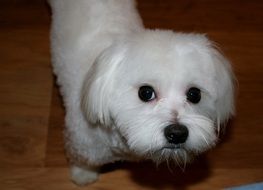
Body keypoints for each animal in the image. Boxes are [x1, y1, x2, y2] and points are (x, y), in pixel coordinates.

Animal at [49, 0, 235, 185]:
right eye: (145, 93)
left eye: (194, 94)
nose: (177, 133)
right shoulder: (83, 145)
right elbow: (82, 160)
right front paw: (83, 174)